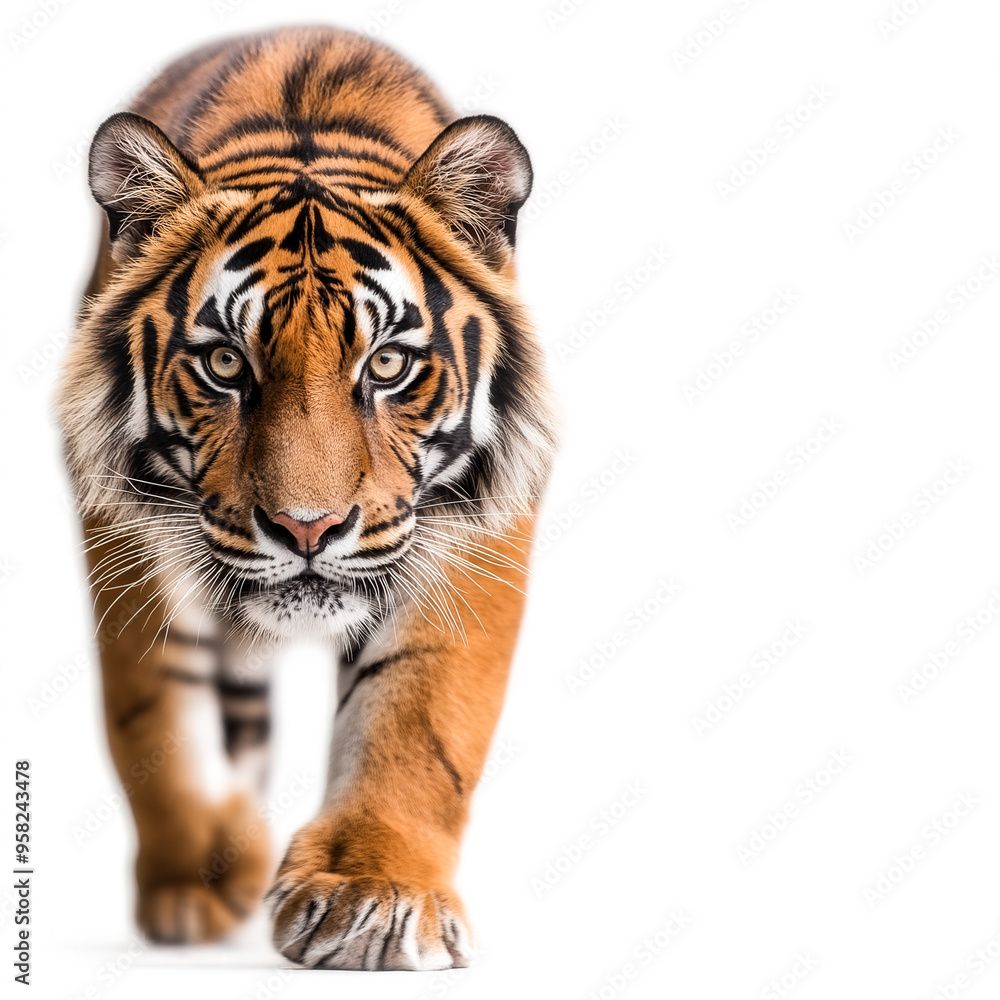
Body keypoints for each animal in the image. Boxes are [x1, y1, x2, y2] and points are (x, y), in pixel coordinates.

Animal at [55, 26, 557, 971]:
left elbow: (418, 718)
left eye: (387, 365)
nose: (306, 527)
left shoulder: (471, 527)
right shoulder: (132, 530)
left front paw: (375, 894)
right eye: (225, 363)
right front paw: (195, 881)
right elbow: (156, 718)